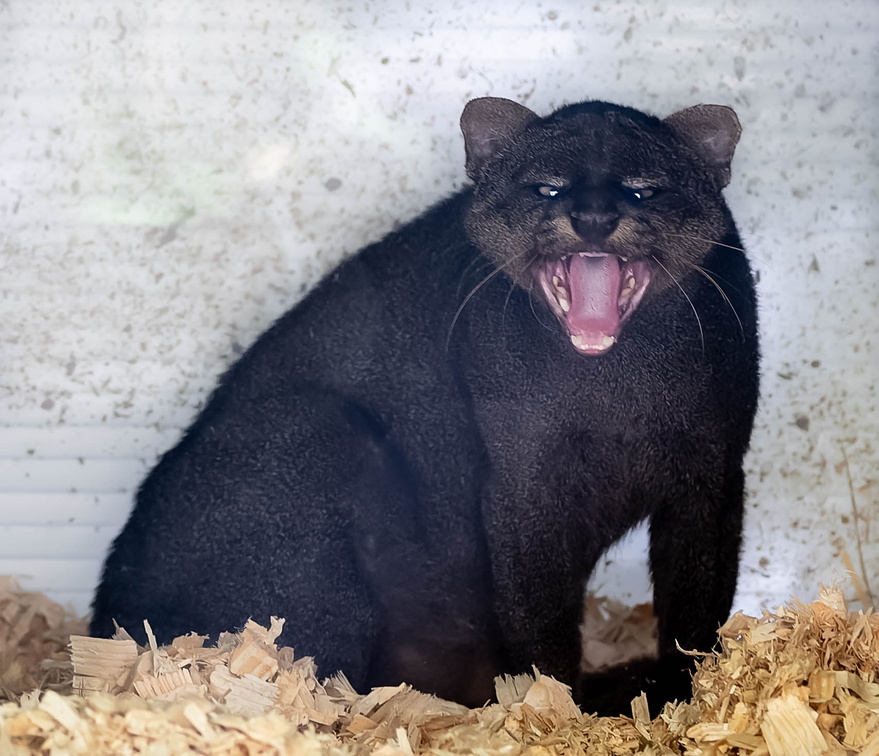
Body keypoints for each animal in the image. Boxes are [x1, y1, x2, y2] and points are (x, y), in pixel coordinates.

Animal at [91, 99, 764, 716]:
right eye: (546, 186)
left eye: (641, 189)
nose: (593, 218)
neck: (615, 392)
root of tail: (105, 623)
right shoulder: (525, 490)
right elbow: (540, 621)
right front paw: (556, 711)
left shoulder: (711, 477)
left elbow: (696, 611)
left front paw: (682, 696)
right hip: (312, 434)